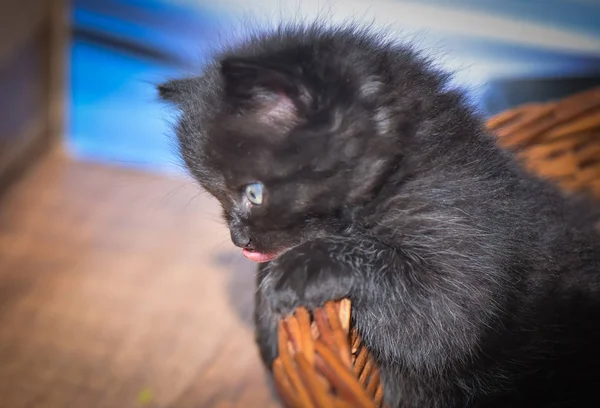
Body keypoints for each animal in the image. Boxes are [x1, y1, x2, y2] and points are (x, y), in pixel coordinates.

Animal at [158, 23, 600, 408]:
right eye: (218, 197)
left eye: (254, 193)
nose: (239, 239)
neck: (398, 175)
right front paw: (270, 327)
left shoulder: (466, 251)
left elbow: (439, 314)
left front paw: (301, 268)